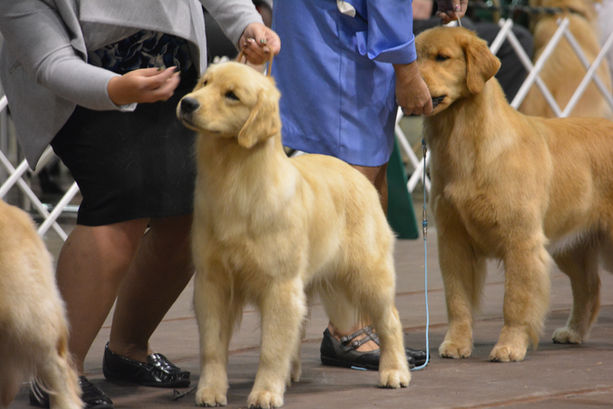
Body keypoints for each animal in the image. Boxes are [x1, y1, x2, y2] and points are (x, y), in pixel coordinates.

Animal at [176, 62, 410, 408]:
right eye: (204, 83)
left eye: (232, 95)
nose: (187, 103)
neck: (234, 180)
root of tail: (356, 175)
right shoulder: (211, 282)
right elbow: (212, 347)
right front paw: (211, 391)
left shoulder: (280, 285)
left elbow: (271, 350)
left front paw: (265, 392)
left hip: (369, 275)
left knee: (390, 320)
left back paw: (395, 372)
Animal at [415, 26, 613, 362]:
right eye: (410, 58)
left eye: (443, 57)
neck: (466, 142)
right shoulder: (452, 240)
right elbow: (457, 300)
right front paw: (456, 343)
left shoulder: (521, 240)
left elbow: (516, 301)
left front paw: (510, 346)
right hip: (570, 246)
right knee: (589, 287)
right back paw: (573, 331)